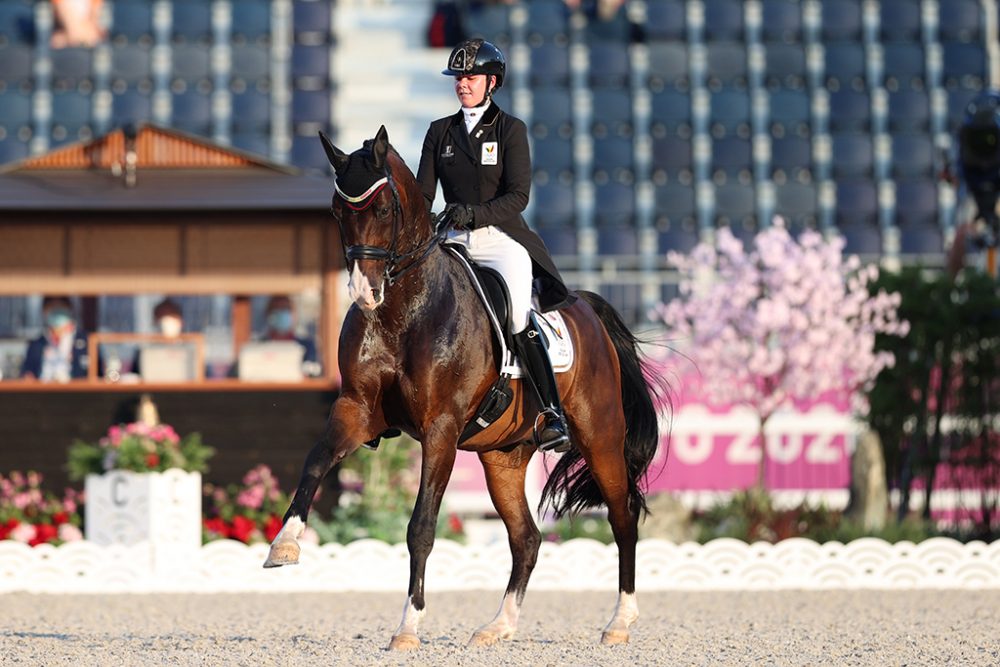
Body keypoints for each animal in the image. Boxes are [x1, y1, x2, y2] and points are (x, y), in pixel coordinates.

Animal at [262, 128, 668, 648]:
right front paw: (284, 545)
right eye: (336, 210)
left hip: (600, 437)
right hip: (502, 458)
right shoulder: (356, 409)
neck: (405, 309)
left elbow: (421, 526)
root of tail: (585, 306)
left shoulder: (441, 429)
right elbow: (314, 462)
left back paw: (619, 622)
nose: (363, 293)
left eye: (384, 210)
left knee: (622, 517)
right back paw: (499, 625)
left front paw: (408, 627)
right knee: (526, 537)